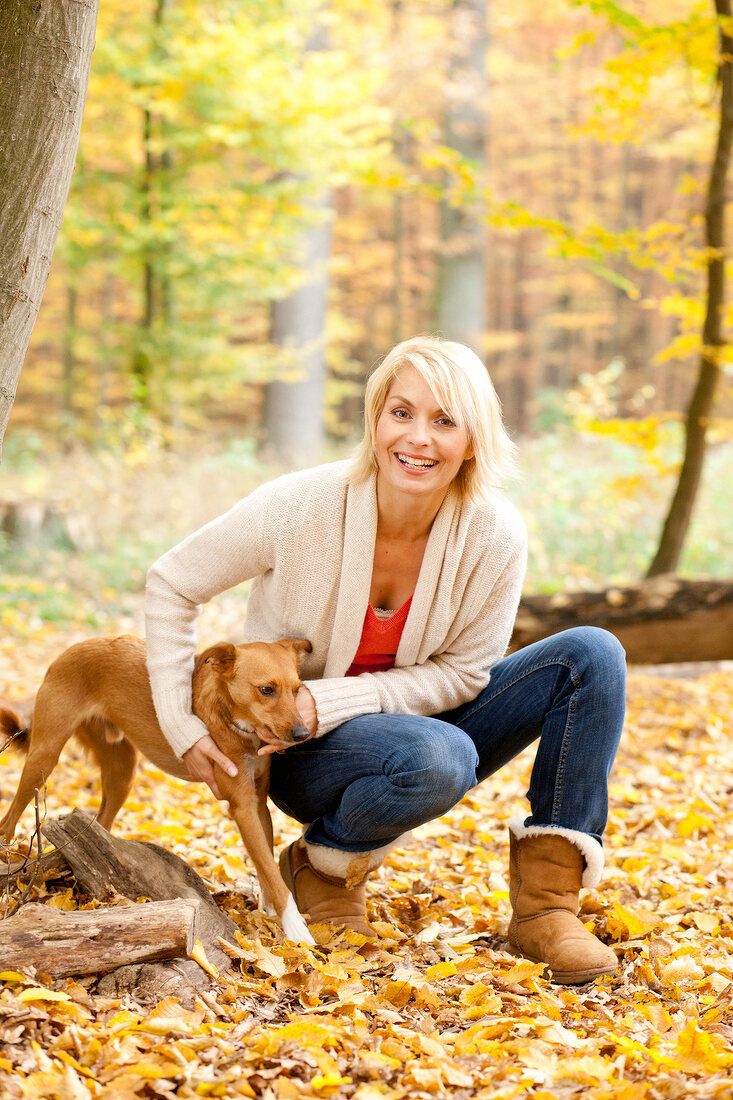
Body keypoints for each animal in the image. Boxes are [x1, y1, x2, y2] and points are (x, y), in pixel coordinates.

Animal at [0, 638, 314, 946]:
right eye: (266, 690)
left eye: (297, 690)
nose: (303, 734)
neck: (233, 719)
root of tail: (69, 651)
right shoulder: (242, 805)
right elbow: (271, 870)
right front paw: (295, 928)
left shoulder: (258, 802)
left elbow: (266, 864)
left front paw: (272, 913)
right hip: (44, 757)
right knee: (10, 818)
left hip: (122, 773)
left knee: (100, 828)